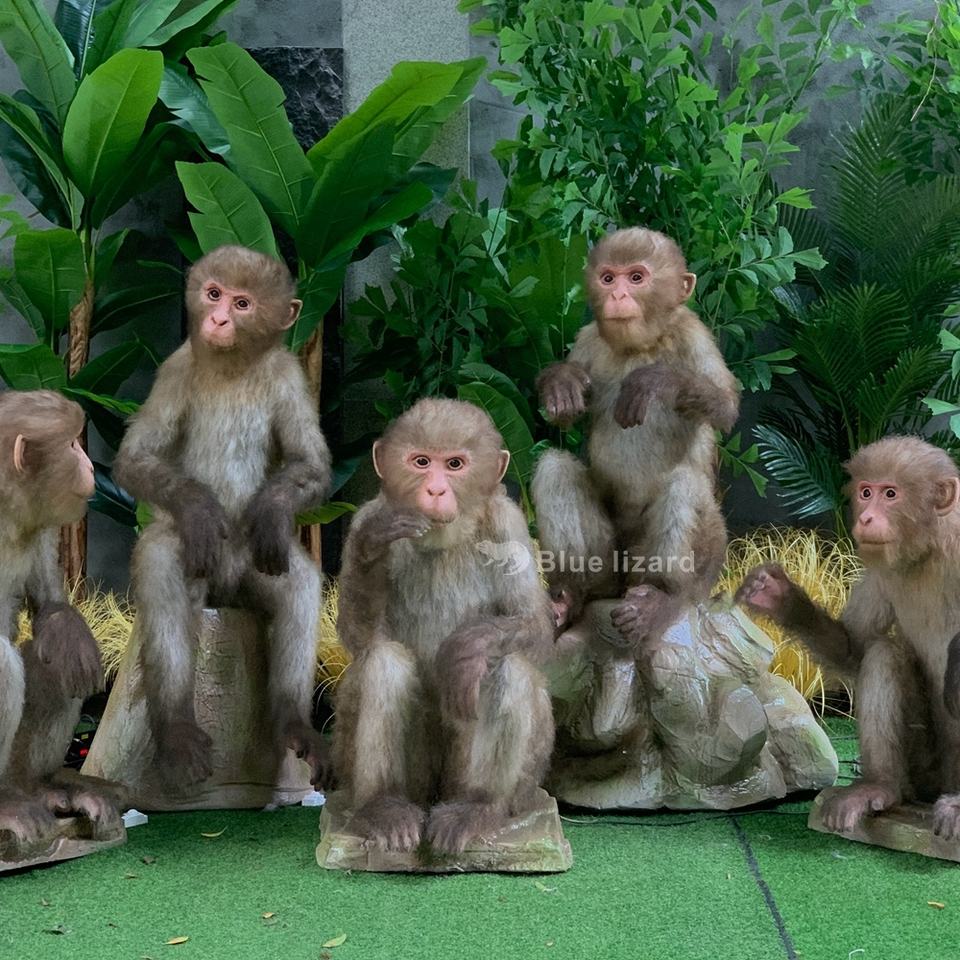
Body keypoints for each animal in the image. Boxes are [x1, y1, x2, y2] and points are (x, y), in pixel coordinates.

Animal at [0, 390, 119, 855]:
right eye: (71, 444)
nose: (90, 466)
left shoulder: (40, 518)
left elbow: (51, 610)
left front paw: (67, 629)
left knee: (53, 657)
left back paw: (40, 788)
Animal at [113, 245, 332, 791]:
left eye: (242, 303)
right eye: (213, 294)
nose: (217, 319)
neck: (234, 365)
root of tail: (226, 589)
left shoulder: (290, 375)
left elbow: (310, 464)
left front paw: (273, 511)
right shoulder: (174, 368)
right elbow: (136, 460)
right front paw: (200, 510)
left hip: (250, 571)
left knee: (296, 580)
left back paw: (293, 722)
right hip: (205, 568)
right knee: (164, 561)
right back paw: (176, 729)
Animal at [333, 398, 555, 856]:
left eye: (454, 464)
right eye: (421, 462)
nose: (435, 490)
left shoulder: (507, 522)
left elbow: (535, 624)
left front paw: (467, 649)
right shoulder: (368, 514)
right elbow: (361, 639)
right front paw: (371, 547)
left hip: (518, 779)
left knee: (508, 666)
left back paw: (478, 805)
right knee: (386, 661)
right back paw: (383, 806)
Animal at [532, 227, 739, 644]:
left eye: (637, 277)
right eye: (609, 278)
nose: (617, 296)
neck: (643, 345)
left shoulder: (693, 334)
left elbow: (725, 407)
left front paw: (655, 381)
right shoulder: (589, 338)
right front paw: (561, 382)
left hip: (702, 561)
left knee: (684, 484)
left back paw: (663, 596)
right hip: (612, 563)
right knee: (555, 467)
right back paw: (573, 593)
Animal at [737, 436, 960, 839]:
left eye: (890, 494)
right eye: (866, 492)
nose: (866, 517)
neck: (933, 548)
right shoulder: (882, 567)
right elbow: (855, 648)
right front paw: (781, 598)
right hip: (924, 770)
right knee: (884, 653)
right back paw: (881, 788)